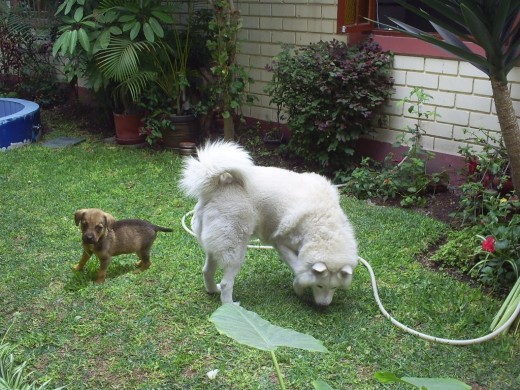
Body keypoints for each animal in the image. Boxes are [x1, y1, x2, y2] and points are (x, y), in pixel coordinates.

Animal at [180, 142, 358, 306]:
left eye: (334, 288)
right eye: (320, 286)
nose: (323, 306)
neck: (323, 227)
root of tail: (215, 185)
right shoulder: (279, 242)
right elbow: (299, 269)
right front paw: (299, 286)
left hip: (215, 246)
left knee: (207, 271)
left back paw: (213, 290)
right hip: (236, 250)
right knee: (226, 283)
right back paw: (230, 305)